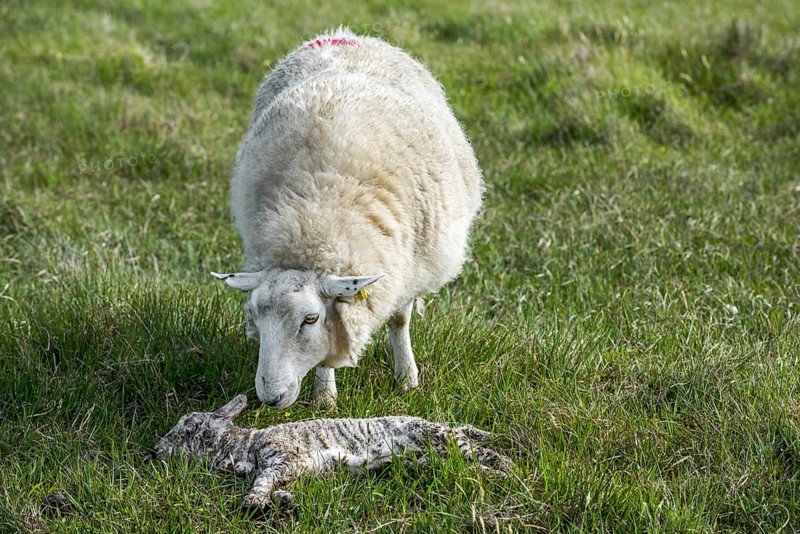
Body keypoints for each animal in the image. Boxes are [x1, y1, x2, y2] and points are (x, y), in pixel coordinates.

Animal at [153, 395, 512, 511]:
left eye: (187, 427)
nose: (155, 451)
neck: (247, 445)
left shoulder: (286, 456)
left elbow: (262, 479)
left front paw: (253, 501)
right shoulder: (291, 469)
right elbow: (278, 487)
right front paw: (285, 501)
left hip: (433, 436)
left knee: (473, 447)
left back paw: (505, 466)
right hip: (431, 453)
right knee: (462, 447)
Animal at [213, 28, 483, 408]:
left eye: (310, 319)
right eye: (255, 317)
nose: (270, 397)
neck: (318, 214)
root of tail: (342, 35)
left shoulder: (406, 267)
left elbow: (399, 320)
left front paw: (406, 378)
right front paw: (325, 396)